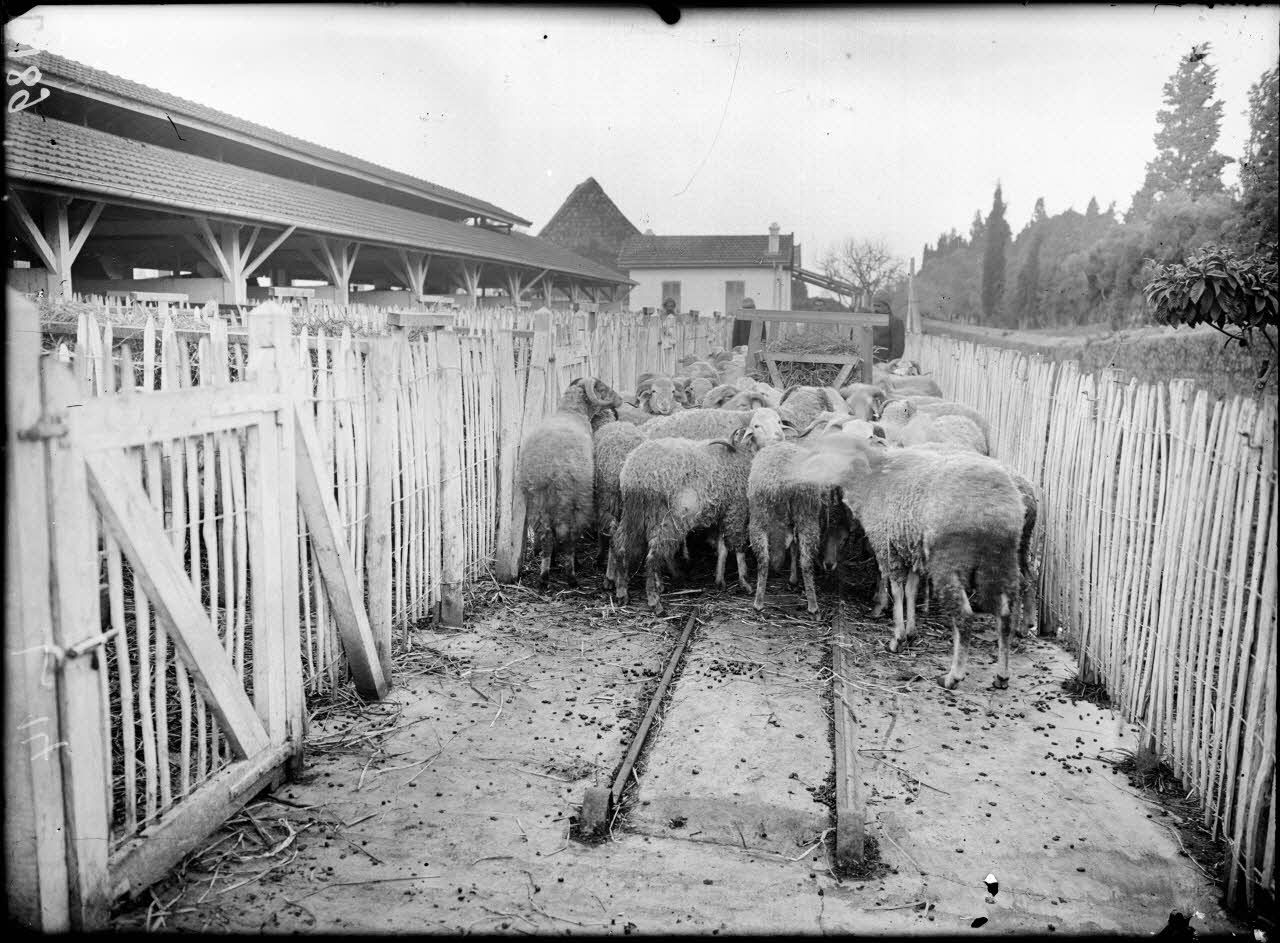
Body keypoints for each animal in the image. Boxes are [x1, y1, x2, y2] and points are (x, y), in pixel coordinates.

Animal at [517, 376, 622, 588]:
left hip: (537, 501)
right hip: (577, 500)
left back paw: (544, 576)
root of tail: (550, 470)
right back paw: (572, 575)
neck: (571, 411)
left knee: (547, 536)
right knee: (570, 537)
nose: (621, 400)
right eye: (603, 388)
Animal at [611, 409, 783, 614]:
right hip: (667, 518)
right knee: (652, 555)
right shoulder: (736, 507)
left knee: (621, 546)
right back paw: (654, 600)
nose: (779, 437)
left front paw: (720, 579)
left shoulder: (722, 510)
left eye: (779, 421)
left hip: (634, 511)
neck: (743, 453)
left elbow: (722, 546)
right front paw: (744, 581)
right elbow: (737, 545)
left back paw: (622, 592)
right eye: (757, 425)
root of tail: (636, 472)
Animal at [803, 437, 1024, 685]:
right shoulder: (910, 551)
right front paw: (911, 632)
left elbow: (897, 591)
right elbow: (910, 590)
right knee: (1004, 615)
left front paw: (897, 638)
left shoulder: (888, 548)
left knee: (964, 617)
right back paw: (1002, 675)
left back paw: (953, 676)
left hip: (948, 562)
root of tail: (995, 507)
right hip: (1001, 560)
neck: (868, 481)